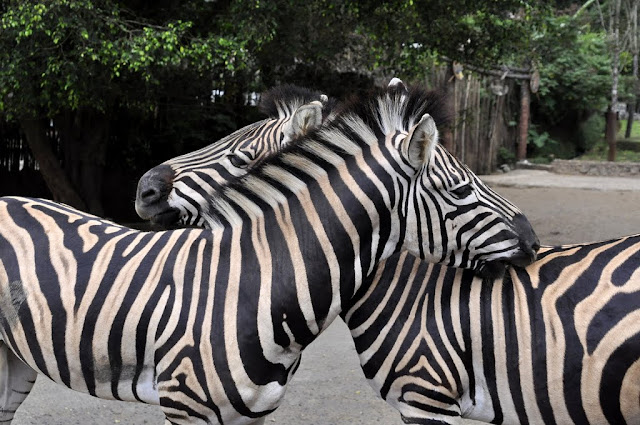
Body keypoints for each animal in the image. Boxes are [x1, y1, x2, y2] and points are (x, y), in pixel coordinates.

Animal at [0, 84, 539, 424]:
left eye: (241, 156)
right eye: (461, 191)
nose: (534, 241)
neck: (257, 280)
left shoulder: (253, 412)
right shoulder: (185, 406)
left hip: (14, 363)